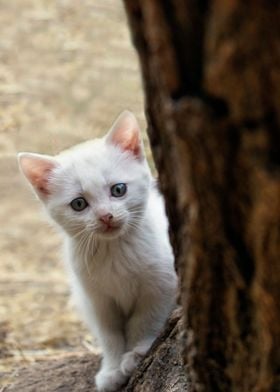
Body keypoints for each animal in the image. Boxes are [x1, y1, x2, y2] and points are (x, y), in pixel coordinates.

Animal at [18, 111, 177, 392]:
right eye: (79, 204)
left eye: (118, 189)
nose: (106, 216)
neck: (114, 250)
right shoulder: (96, 300)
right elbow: (110, 335)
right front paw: (112, 369)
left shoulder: (161, 286)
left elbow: (145, 320)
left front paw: (136, 353)